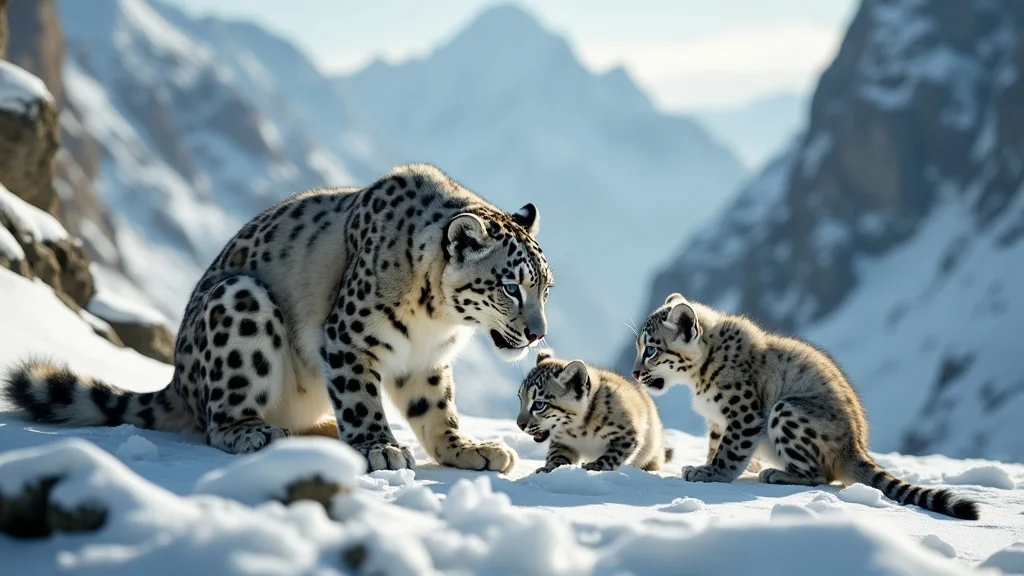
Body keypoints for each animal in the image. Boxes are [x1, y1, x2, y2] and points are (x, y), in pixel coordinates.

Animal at [4, 162, 557, 471]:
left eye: (546, 288)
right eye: (511, 286)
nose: (537, 334)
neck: (437, 322)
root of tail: (177, 379)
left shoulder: (427, 363)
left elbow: (437, 411)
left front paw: (470, 448)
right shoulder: (349, 338)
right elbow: (361, 399)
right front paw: (379, 447)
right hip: (241, 305)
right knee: (218, 421)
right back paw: (260, 433)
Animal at [512, 348, 671, 473]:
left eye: (539, 404)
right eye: (520, 399)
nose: (519, 425)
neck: (578, 429)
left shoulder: (628, 435)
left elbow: (613, 455)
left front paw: (594, 466)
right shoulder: (563, 442)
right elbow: (557, 455)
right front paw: (549, 468)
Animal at [626, 293, 978, 518]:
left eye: (651, 349)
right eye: (639, 347)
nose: (634, 373)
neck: (699, 377)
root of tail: (855, 447)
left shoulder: (742, 414)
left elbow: (730, 450)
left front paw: (711, 472)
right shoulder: (717, 422)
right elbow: (716, 444)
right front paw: (708, 464)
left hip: (787, 411)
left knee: (821, 475)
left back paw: (776, 474)